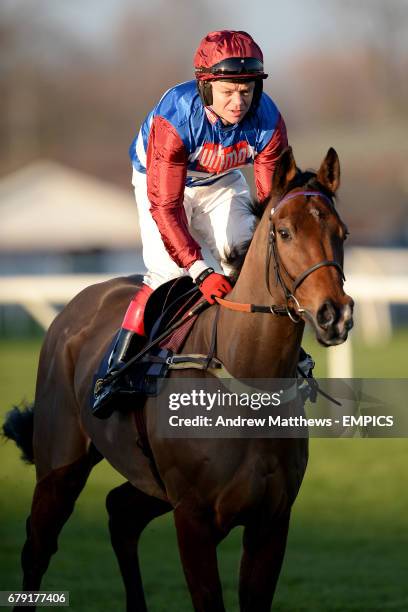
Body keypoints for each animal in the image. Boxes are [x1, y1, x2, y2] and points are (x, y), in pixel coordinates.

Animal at [3, 146, 354, 608]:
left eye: (342, 233)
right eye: (284, 232)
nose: (335, 315)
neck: (246, 382)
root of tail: (74, 306)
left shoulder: (271, 522)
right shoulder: (192, 518)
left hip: (149, 482)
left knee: (120, 513)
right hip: (60, 467)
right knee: (37, 547)